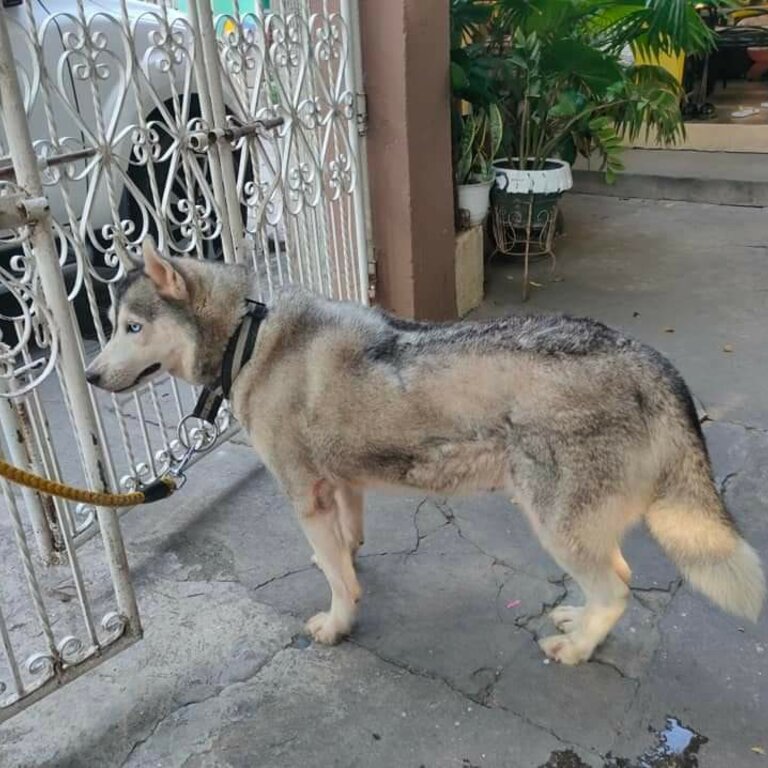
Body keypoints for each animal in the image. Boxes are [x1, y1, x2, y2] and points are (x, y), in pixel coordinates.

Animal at [87, 240, 764, 664]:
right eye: (114, 325)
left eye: (131, 327)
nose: (90, 377)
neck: (249, 338)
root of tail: (651, 360)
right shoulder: (342, 484)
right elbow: (346, 550)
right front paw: (349, 571)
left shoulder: (305, 494)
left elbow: (334, 574)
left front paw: (338, 622)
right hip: (582, 524)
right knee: (616, 577)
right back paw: (577, 623)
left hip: (556, 524)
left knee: (618, 589)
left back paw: (576, 649)